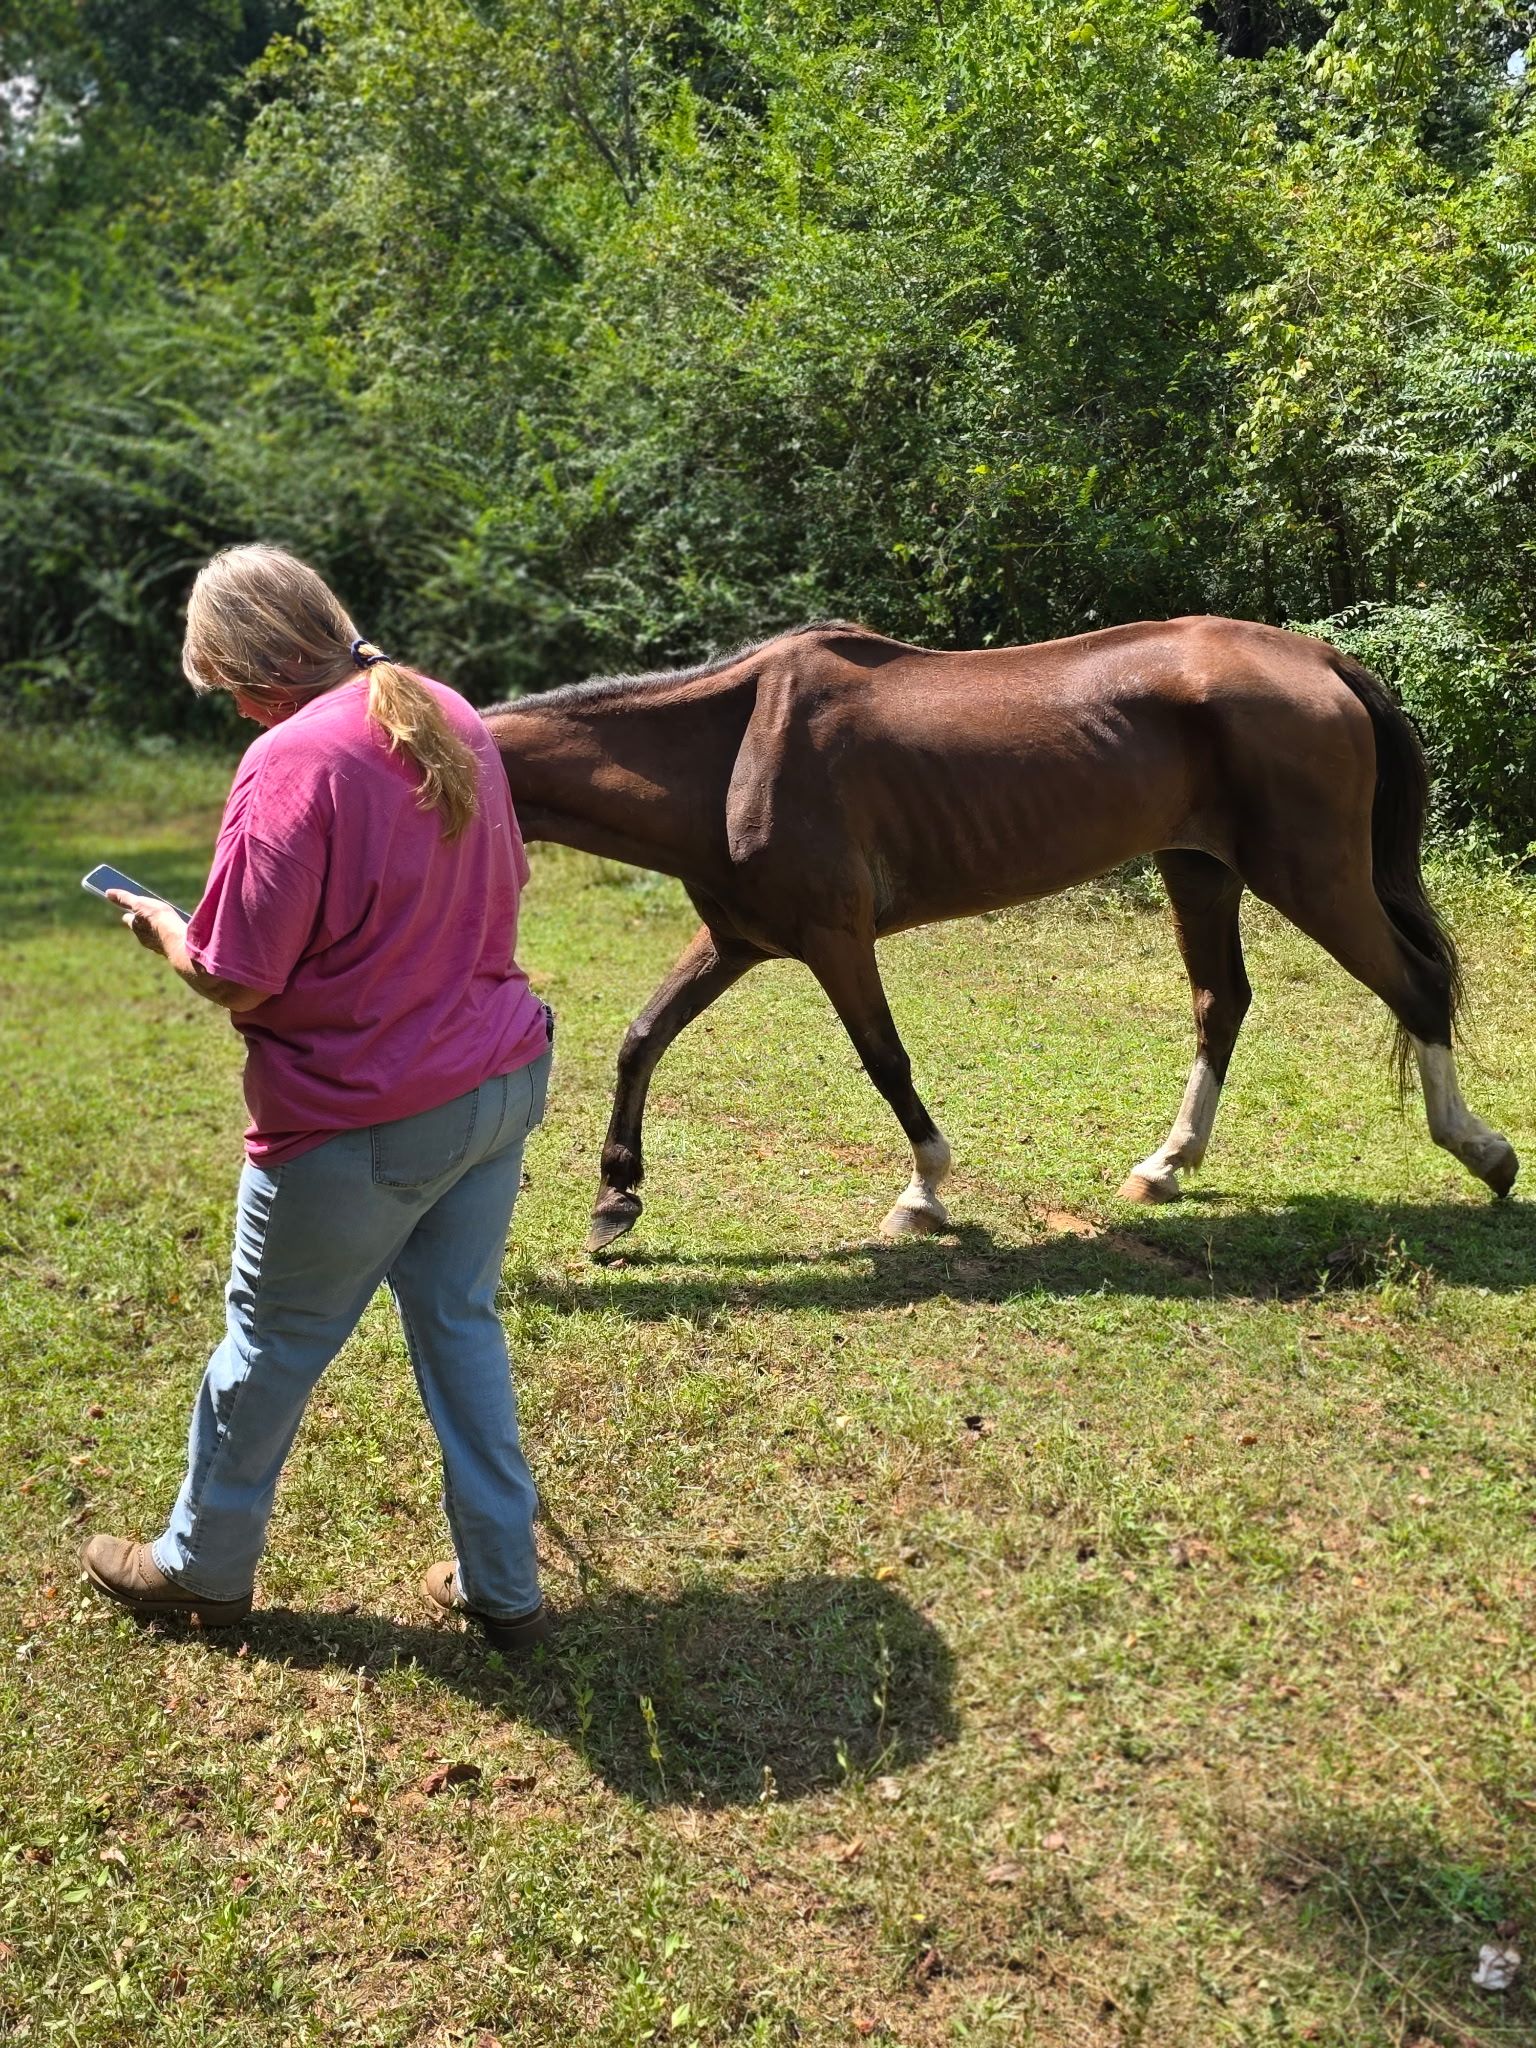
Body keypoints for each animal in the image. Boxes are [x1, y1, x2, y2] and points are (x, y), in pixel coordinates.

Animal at [485, 615, 1518, 1253]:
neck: (736, 747)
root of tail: (1322, 661)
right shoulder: (740, 941)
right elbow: (642, 1038)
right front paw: (616, 1198)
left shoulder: (834, 937)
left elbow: (885, 1061)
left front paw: (924, 1192)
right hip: (1201, 870)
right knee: (1221, 1003)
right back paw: (1165, 1167)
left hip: (1314, 878)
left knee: (1416, 984)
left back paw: (1482, 1151)